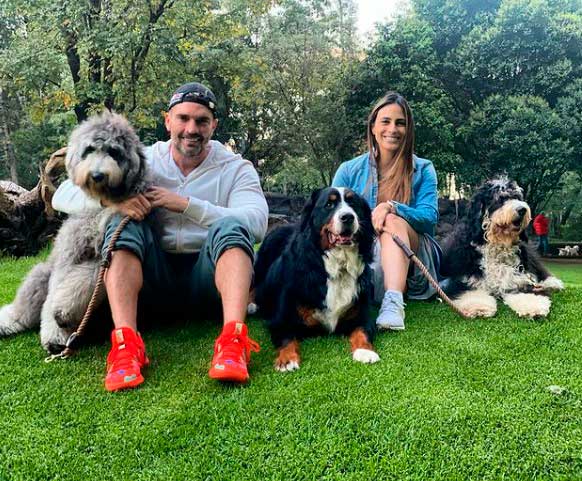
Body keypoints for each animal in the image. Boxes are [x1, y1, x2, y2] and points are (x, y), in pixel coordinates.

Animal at [0, 112, 149, 352]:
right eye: (89, 149)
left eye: (114, 151)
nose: (97, 174)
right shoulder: (69, 253)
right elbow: (54, 293)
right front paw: (54, 335)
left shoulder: (102, 255)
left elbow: (86, 279)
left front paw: (63, 316)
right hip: (41, 273)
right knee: (23, 310)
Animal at [253, 187, 378, 372]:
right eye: (329, 205)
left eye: (353, 203)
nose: (348, 217)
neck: (338, 266)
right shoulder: (280, 319)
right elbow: (287, 338)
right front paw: (287, 359)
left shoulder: (362, 314)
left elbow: (362, 331)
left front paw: (365, 351)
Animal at [440, 177, 563, 318]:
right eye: (500, 199)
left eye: (517, 197)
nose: (522, 209)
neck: (499, 244)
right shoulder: (462, 277)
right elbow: (470, 291)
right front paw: (478, 306)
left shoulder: (520, 276)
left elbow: (527, 290)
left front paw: (533, 305)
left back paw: (552, 283)